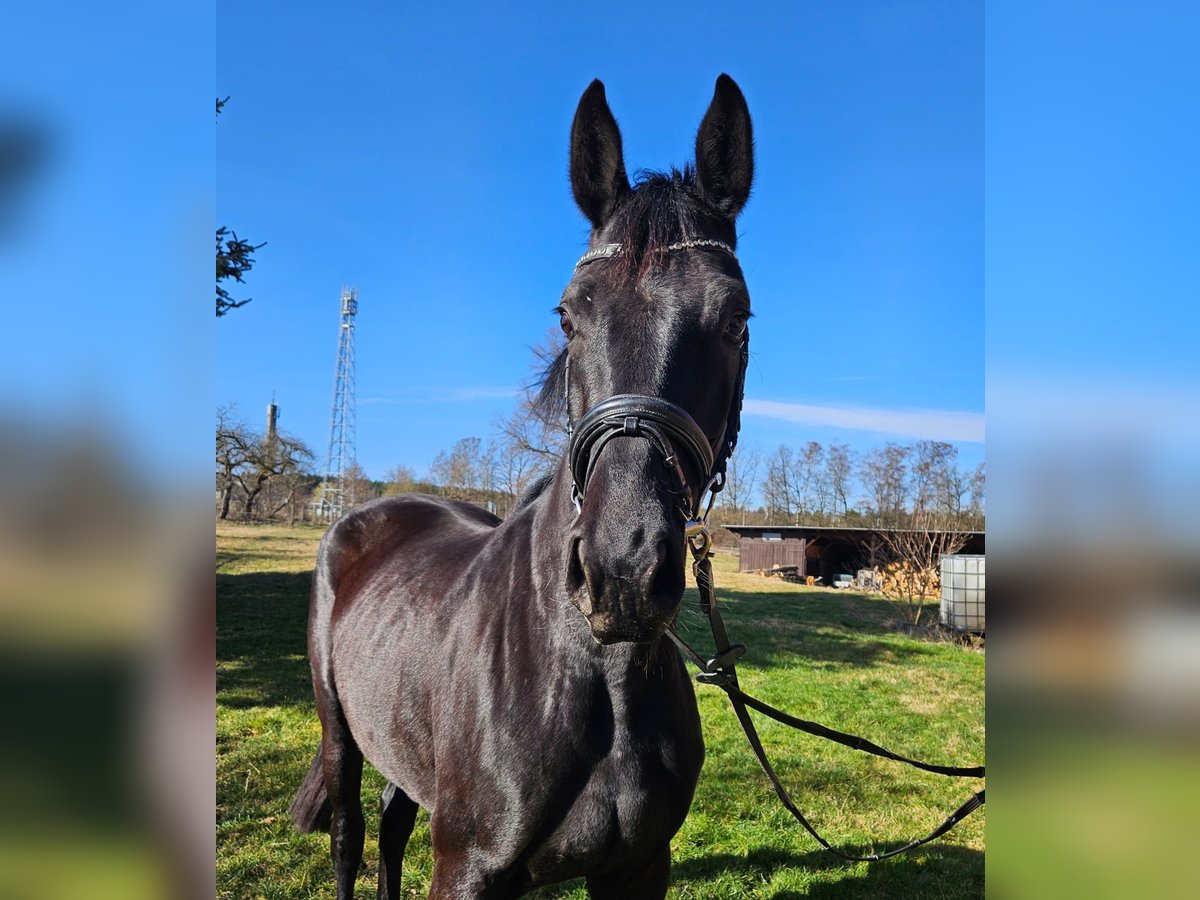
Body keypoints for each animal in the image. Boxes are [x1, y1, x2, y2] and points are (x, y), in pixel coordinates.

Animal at [290, 74, 755, 899]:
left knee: (391, 827)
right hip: (339, 731)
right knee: (349, 835)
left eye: (737, 318)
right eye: (568, 315)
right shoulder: (469, 871)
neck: (598, 675)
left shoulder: (641, 868)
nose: (624, 572)